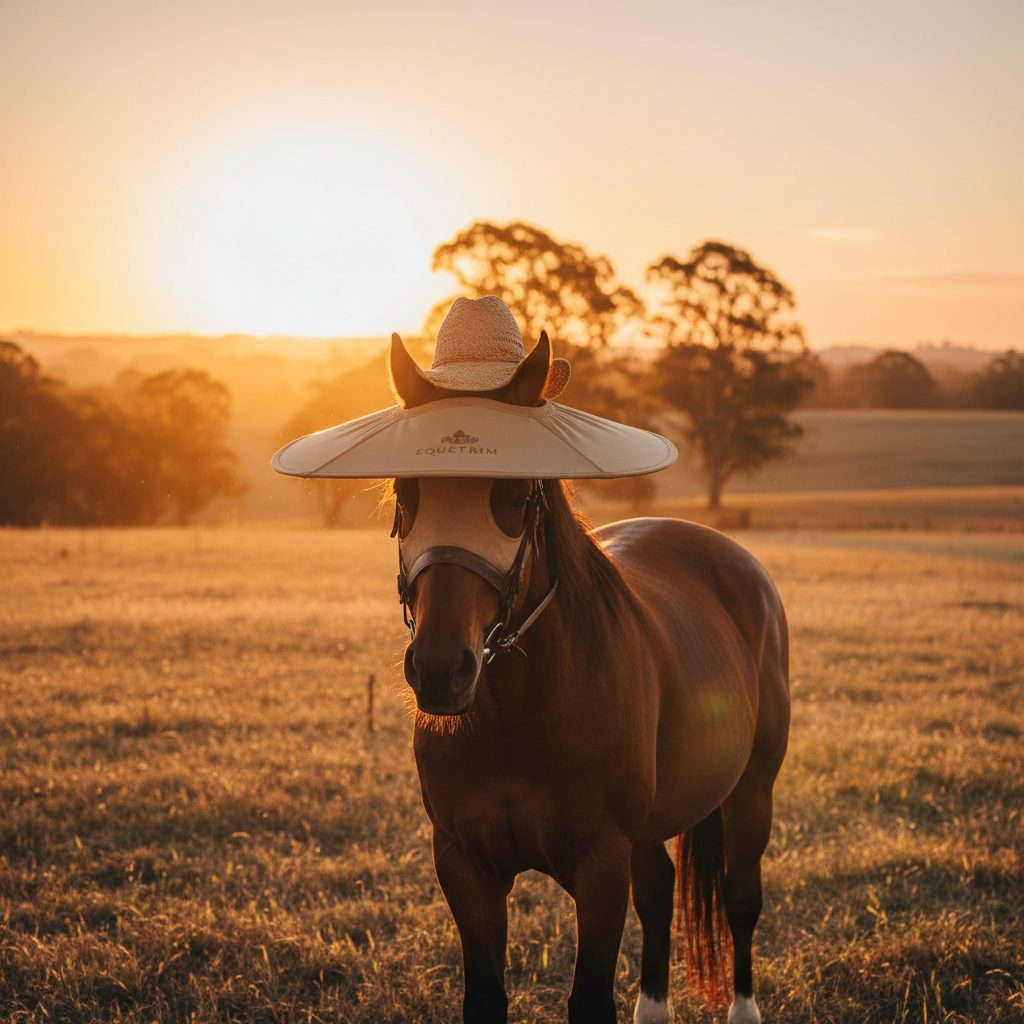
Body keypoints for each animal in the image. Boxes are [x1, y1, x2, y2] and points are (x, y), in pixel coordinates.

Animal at [388, 331, 791, 1024]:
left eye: (515, 499)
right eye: (404, 496)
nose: (441, 668)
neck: (520, 723)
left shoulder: (600, 870)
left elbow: (590, 997)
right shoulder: (465, 866)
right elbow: (486, 996)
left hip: (751, 792)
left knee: (741, 900)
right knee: (659, 892)